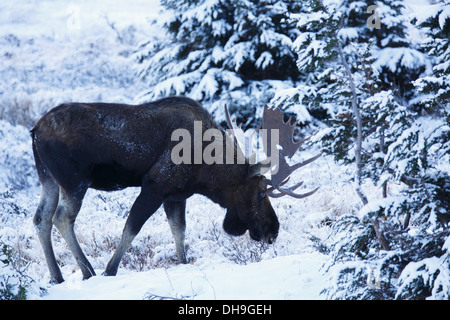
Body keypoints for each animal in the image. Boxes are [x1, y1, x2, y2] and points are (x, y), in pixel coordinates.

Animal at [31, 96, 320, 284]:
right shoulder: (155, 185)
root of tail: (34, 131)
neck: (206, 170)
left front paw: (183, 264)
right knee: (61, 217)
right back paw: (87, 270)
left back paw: (57, 276)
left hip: (48, 179)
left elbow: (179, 232)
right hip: (74, 180)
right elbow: (131, 227)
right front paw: (109, 271)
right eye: (261, 192)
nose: (273, 230)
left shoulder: (176, 195)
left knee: (40, 218)